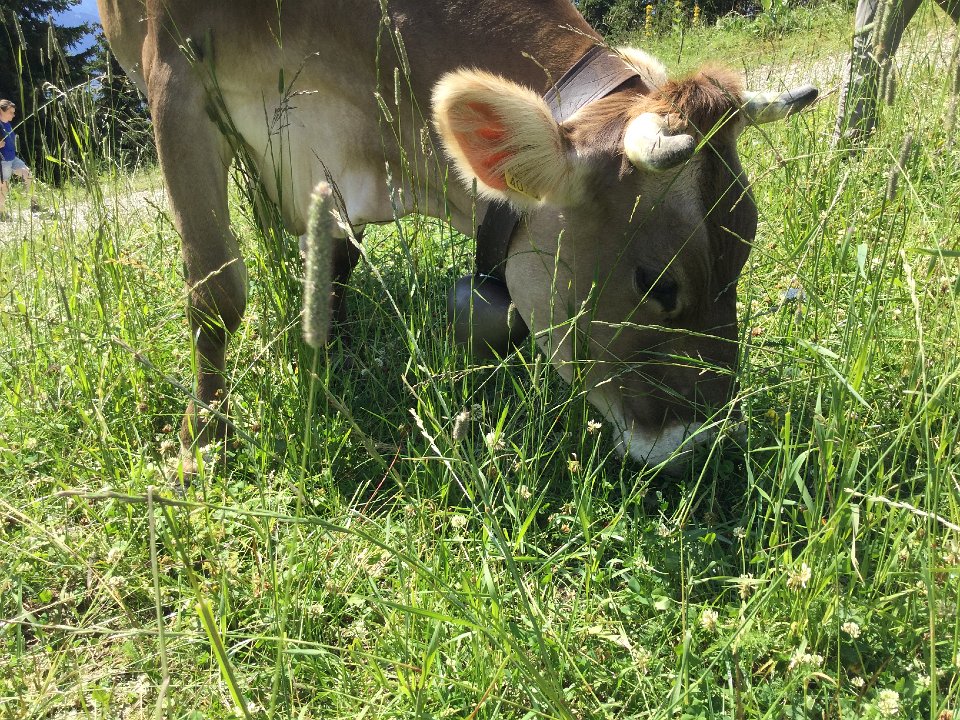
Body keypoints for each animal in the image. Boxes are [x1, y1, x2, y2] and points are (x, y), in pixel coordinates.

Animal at [96, 0, 817, 472]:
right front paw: (202, 444)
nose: (698, 444)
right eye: (656, 283)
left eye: (744, 253)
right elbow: (216, 290)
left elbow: (336, 259)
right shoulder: (173, 82)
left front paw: (336, 354)